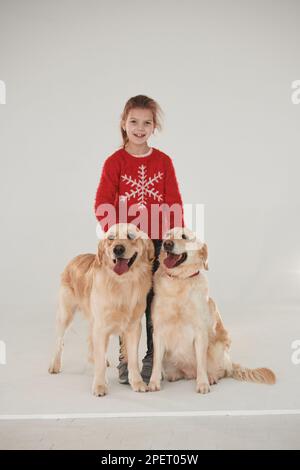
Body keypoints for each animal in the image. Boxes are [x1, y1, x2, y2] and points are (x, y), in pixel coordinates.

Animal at [49, 224, 155, 396]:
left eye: (131, 236)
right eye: (111, 238)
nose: (118, 249)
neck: (122, 282)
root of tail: (75, 257)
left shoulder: (133, 327)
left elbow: (132, 359)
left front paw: (137, 383)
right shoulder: (101, 325)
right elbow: (99, 358)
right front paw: (99, 385)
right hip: (65, 313)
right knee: (60, 341)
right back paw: (55, 365)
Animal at [148, 227, 276, 392]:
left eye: (184, 236)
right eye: (167, 236)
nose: (167, 244)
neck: (180, 280)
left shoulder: (200, 332)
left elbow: (202, 363)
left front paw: (203, 383)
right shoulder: (158, 331)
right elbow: (156, 363)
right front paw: (153, 382)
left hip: (218, 347)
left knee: (221, 371)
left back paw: (211, 377)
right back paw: (175, 374)